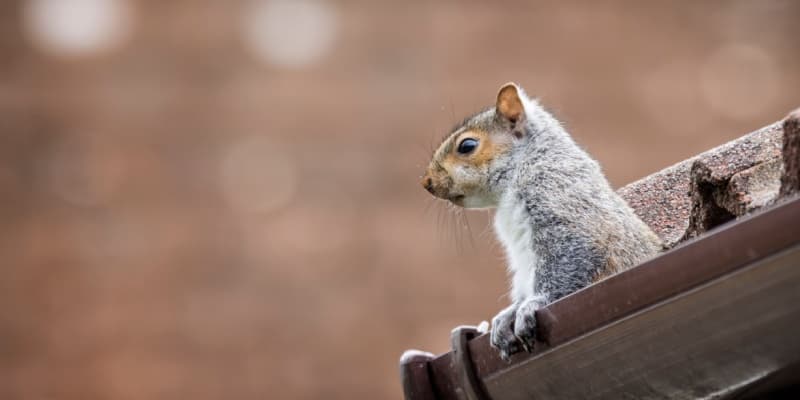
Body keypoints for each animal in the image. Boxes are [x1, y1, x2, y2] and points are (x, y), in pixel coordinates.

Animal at [421, 83, 662, 360]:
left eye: (467, 145)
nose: (426, 183)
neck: (525, 165)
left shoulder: (560, 203)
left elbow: (567, 263)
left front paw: (534, 304)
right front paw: (507, 315)